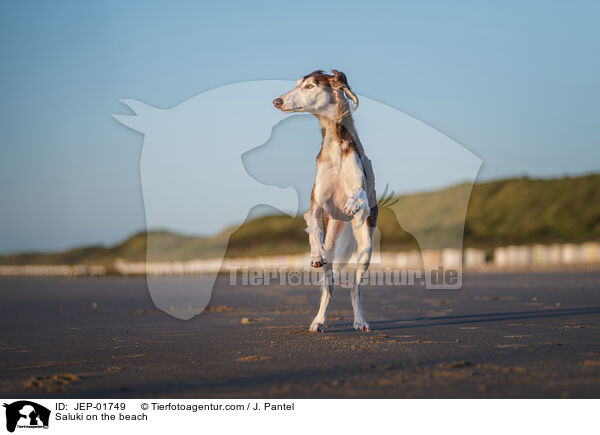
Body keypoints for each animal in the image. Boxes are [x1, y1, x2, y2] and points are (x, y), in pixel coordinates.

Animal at [274, 70, 378, 332]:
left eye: (310, 86)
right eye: (297, 85)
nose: (277, 101)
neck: (335, 147)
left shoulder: (362, 194)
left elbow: (358, 195)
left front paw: (351, 202)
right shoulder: (315, 205)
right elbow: (312, 228)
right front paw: (314, 255)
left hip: (365, 247)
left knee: (355, 288)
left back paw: (360, 320)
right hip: (332, 241)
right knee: (328, 287)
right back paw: (318, 320)